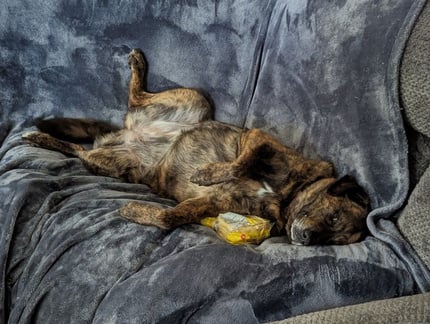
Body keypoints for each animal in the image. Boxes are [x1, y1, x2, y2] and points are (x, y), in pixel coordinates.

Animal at [22, 48, 370, 246]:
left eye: (335, 242)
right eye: (334, 217)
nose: (309, 241)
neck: (286, 197)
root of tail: (130, 131)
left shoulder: (213, 204)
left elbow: (169, 218)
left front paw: (137, 211)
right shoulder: (258, 139)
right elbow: (240, 163)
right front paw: (207, 173)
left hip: (115, 164)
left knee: (82, 150)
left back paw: (43, 139)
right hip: (197, 100)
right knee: (134, 98)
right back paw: (136, 66)